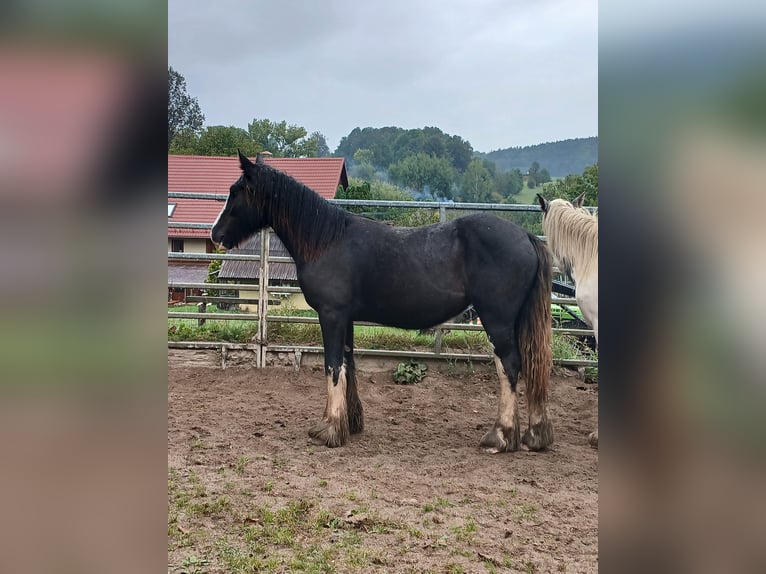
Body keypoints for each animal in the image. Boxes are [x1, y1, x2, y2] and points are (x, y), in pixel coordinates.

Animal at [213, 154, 556, 454]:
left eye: (237, 191)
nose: (216, 234)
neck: (327, 241)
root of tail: (526, 237)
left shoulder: (331, 315)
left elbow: (332, 366)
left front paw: (330, 429)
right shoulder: (346, 319)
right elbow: (348, 365)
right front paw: (349, 423)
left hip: (497, 321)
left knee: (509, 366)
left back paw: (500, 436)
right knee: (532, 364)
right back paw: (534, 436)